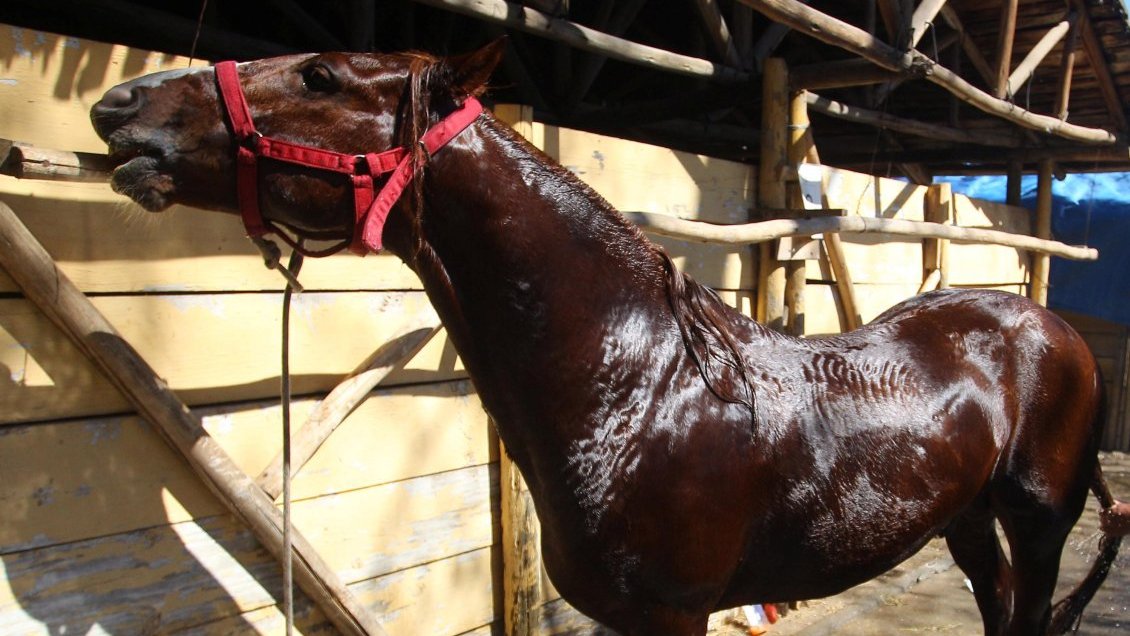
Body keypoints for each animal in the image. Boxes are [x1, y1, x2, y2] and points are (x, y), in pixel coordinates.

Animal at [90, 41, 1126, 635]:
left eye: (321, 76)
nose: (119, 108)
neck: (639, 388)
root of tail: (1050, 326)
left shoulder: (672, 615)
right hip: (966, 519)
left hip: (1039, 521)